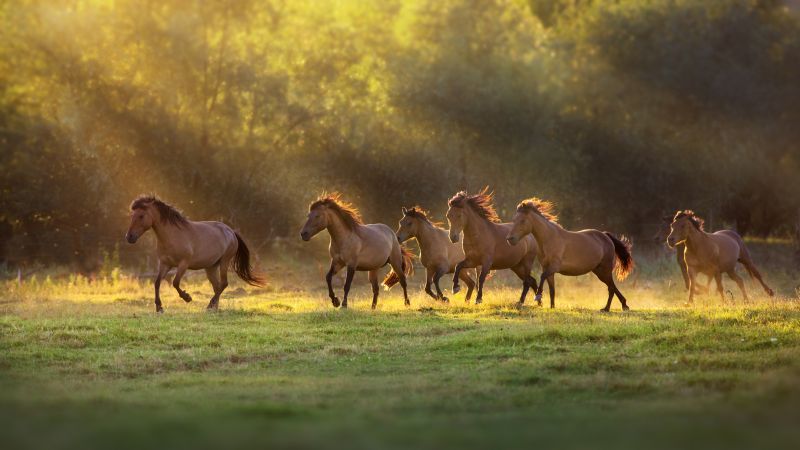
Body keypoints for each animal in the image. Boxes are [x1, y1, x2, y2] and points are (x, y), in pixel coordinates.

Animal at [123, 193, 264, 312]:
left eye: (141, 216)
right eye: (132, 216)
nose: (129, 237)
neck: (172, 235)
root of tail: (231, 231)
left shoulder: (183, 264)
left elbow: (175, 282)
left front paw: (187, 297)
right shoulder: (165, 264)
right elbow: (157, 283)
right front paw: (159, 308)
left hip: (224, 261)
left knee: (223, 284)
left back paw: (209, 306)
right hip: (211, 267)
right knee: (217, 286)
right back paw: (213, 308)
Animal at [504, 199, 636, 312]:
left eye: (522, 221)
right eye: (514, 220)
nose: (510, 239)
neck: (549, 238)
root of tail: (605, 236)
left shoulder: (554, 267)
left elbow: (542, 277)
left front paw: (538, 296)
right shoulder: (547, 268)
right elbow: (552, 289)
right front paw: (552, 307)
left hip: (605, 270)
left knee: (611, 288)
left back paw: (607, 308)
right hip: (599, 272)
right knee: (612, 287)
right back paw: (623, 305)